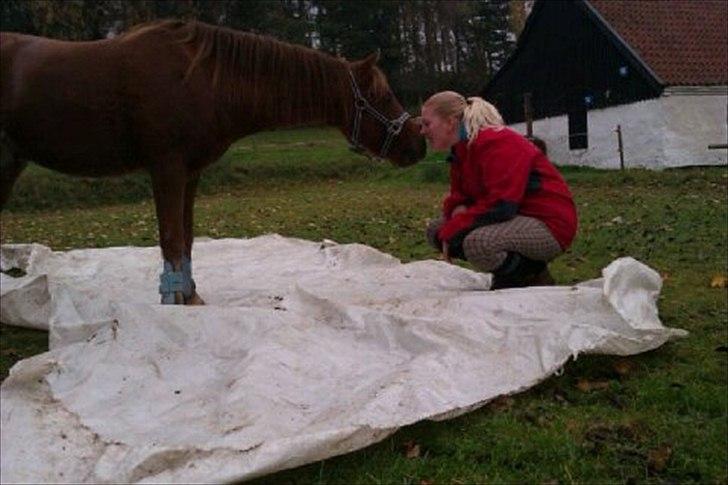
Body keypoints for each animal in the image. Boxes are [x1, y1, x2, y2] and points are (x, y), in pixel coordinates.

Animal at [0, 21, 426, 306]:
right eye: (382, 96)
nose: (418, 145)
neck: (201, 80)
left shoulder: (190, 175)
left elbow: (186, 240)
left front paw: (190, 298)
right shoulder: (166, 170)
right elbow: (171, 240)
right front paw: (174, 305)